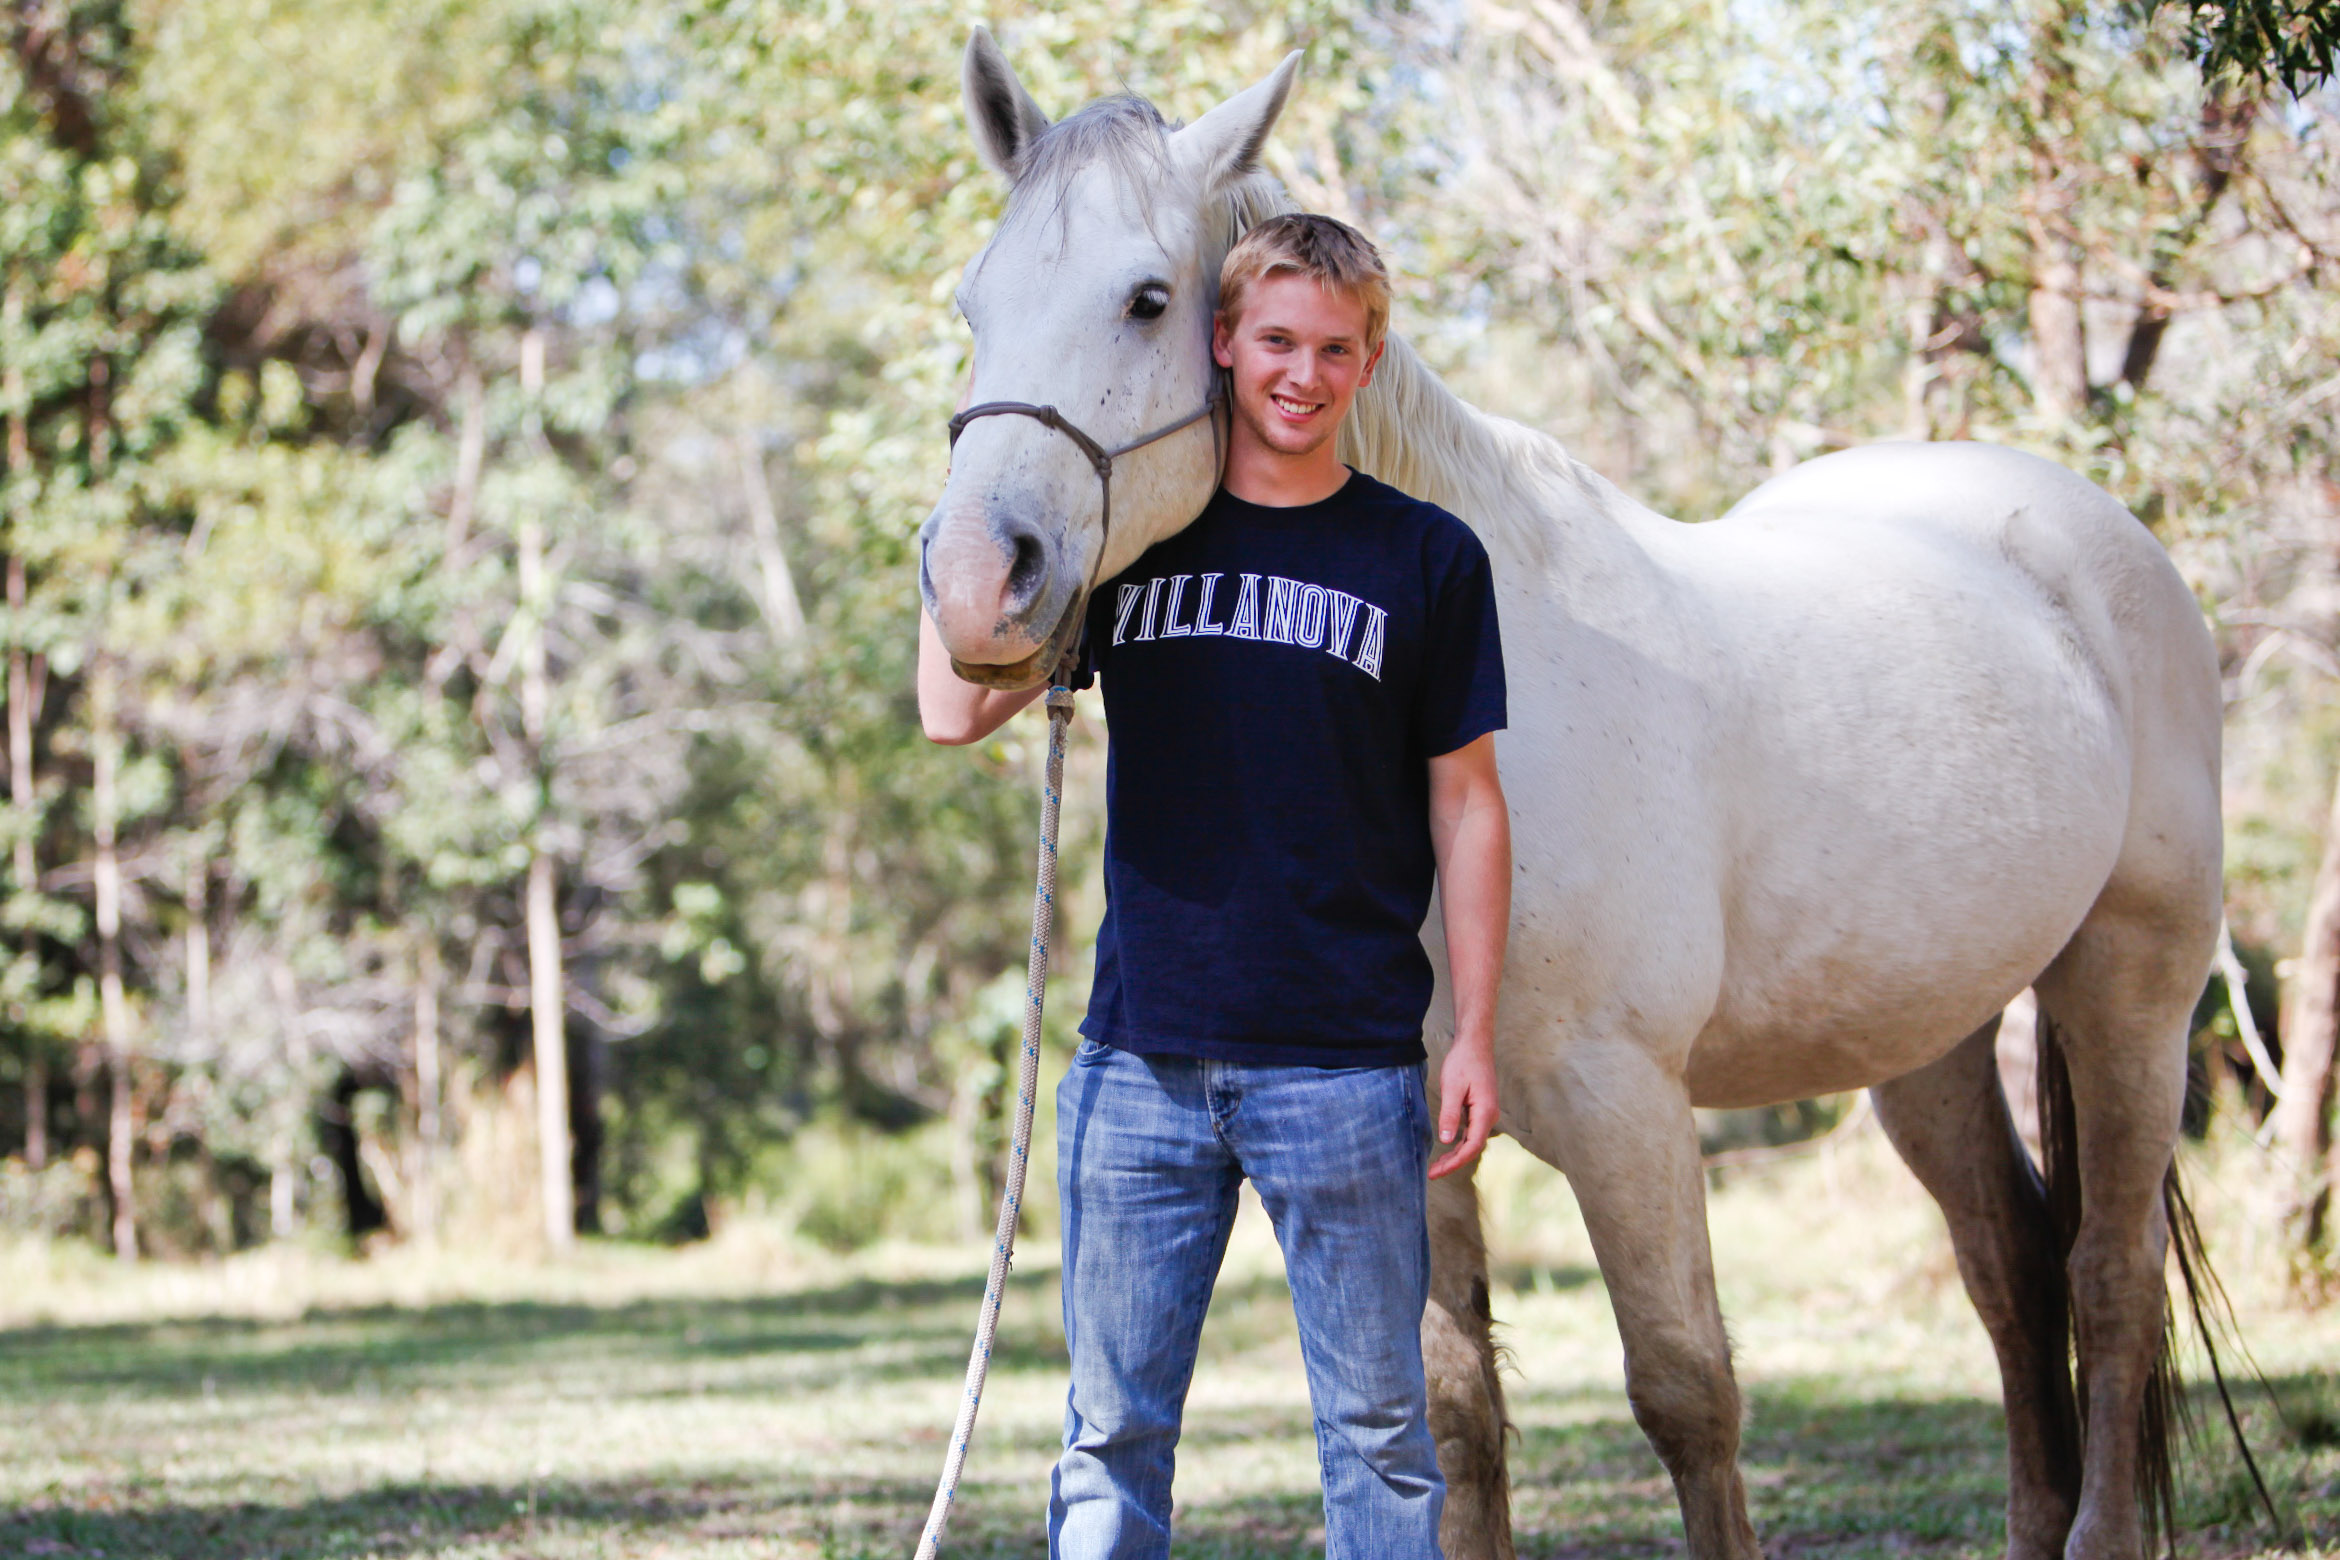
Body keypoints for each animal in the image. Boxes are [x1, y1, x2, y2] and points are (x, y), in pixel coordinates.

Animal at [918, 31, 2232, 1560]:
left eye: (1144, 299)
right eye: (976, 301)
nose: (976, 585)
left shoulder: (1626, 1108)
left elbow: (1687, 1392)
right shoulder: (1407, 1127)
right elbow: (1452, 1408)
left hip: (2130, 987)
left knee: (2106, 1274)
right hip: (1929, 1036)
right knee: (2010, 1270)